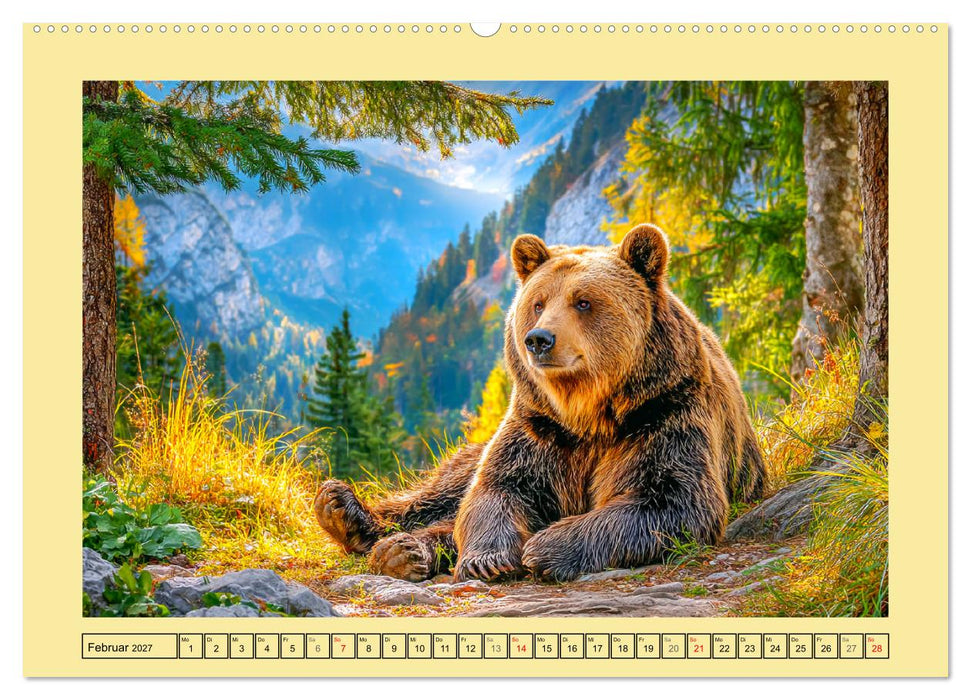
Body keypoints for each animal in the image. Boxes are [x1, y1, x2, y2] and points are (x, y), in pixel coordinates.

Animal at [313, 224, 765, 582]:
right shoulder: (539, 427)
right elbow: (497, 488)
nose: (539, 339)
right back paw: (352, 516)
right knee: (444, 494)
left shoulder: (661, 413)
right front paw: (487, 558)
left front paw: (547, 547)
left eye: (583, 301)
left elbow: (670, 498)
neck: (587, 413)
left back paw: (398, 548)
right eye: (538, 302)